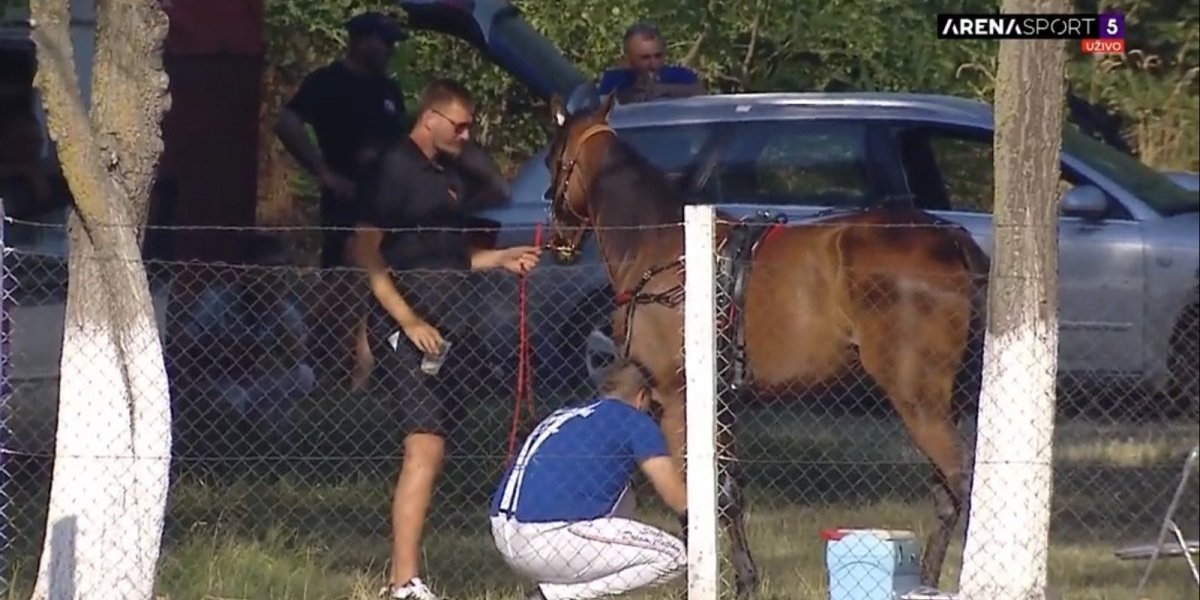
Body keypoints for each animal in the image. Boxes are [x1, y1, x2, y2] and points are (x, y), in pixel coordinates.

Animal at [540, 91, 990, 598]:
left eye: (553, 160)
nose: (558, 240)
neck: (665, 247)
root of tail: (950, 239)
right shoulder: (723, 404)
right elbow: (728, 492)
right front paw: (746, 579)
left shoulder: (675, 399)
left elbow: (693, 496)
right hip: (945, 401)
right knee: (947, 496)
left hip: (917, 399)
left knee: (964, 481)